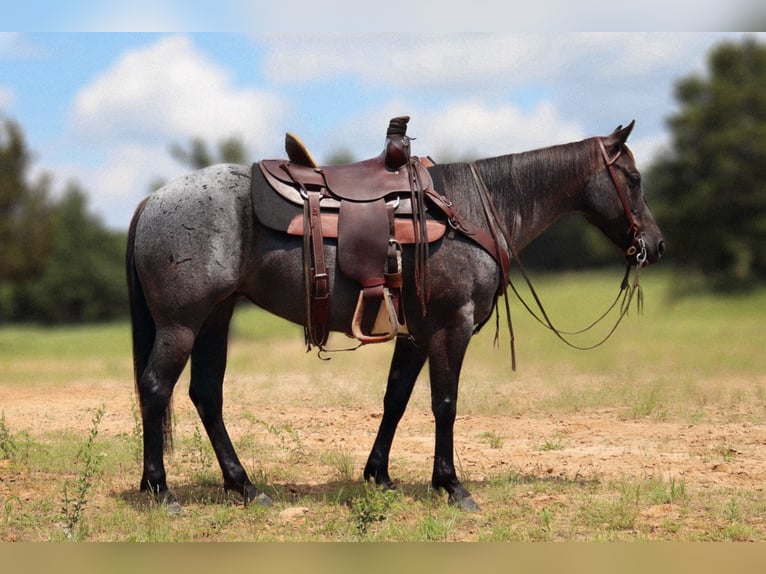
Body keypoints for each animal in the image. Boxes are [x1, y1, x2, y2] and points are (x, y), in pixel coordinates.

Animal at [126, 121, 664, 512]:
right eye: (634, 179)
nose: (656, 245)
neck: (472, 209)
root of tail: (152, 199)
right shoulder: (452, 327)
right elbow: (445, 404)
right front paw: (451, 486)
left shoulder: (416, 335)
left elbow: (396, 400)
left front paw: (379, 476)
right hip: (182, 325)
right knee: (156, 388)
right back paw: (160, 491)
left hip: (215, 319)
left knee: (206, 395)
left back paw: (246, 488)